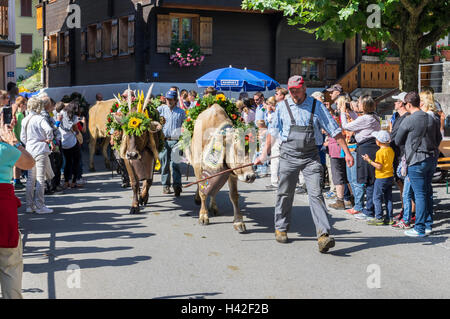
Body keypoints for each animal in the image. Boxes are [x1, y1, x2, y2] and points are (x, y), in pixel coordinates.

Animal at [187, 104, 256, 232]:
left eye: (254, 152)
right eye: (239, 151)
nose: (251, 176)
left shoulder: (232, 173)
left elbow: (234, 195)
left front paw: (238, 221)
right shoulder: (198, 167)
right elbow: (203, 191)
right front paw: (203, 216)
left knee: (214, 189)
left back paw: (213, 207)